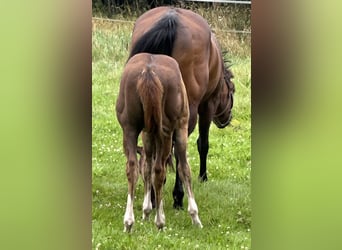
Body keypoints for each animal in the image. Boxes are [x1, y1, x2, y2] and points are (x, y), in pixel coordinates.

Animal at [116, 53, 202, 232]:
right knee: (159, 170)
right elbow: (184, 169)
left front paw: (147, 210)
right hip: (168, 132)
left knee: (132, 167)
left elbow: (146, 167)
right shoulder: (181, 128)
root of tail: (148, 71)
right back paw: (160, 222)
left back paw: (129, 222)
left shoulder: (147, 134)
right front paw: (195, 216)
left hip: (129, 128)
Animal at [128, 6, 235, 208]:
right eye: (231, 90)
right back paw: (177, 195)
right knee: (179, 148)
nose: (226, 119)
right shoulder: (207, 106)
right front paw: (202, 177)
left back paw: (153, 193)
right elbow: (203, 144)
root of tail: (171, 18)